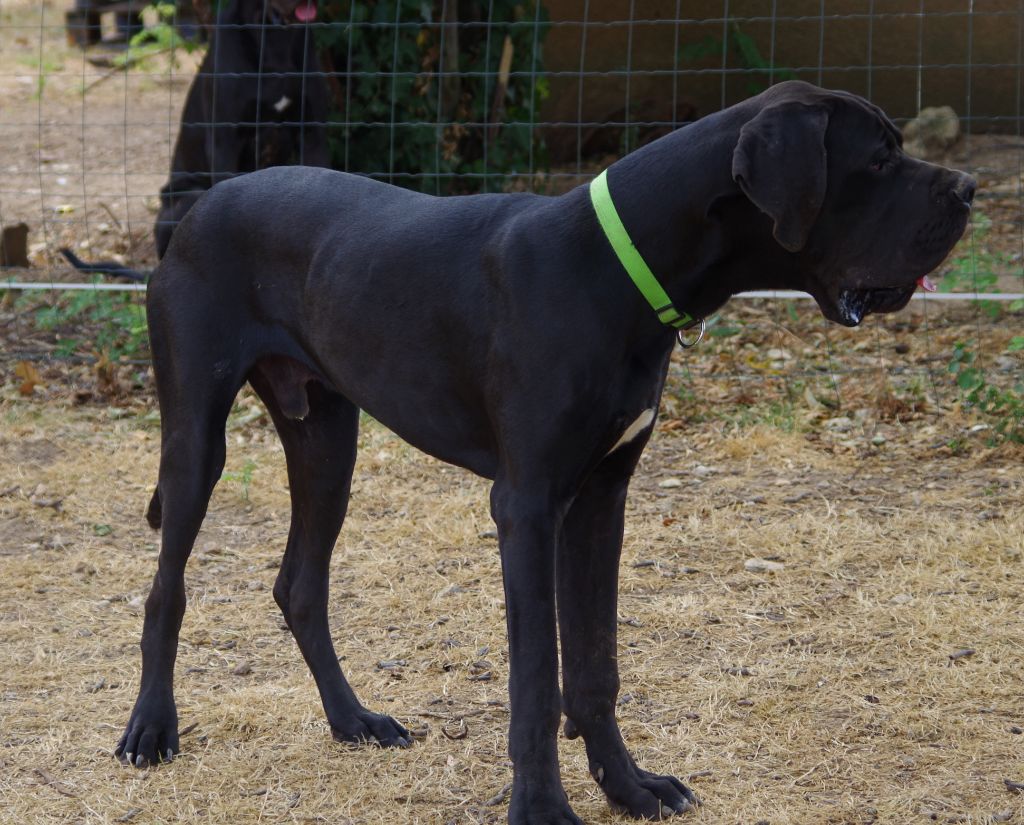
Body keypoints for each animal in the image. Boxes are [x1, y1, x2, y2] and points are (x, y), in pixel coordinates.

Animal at [116, 81, 973, 823]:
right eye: (878, 160)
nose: (968, 187)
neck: (618, 268)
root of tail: (199, 208)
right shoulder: (526, 506)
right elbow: (535, 675)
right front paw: (544, 808)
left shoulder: (600, 496)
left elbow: (593, 665)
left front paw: (628, 786)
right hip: (196, 438)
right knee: (166, 588)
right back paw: (150, 730)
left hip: (328, 440)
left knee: (300, 585)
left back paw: (353, 718)